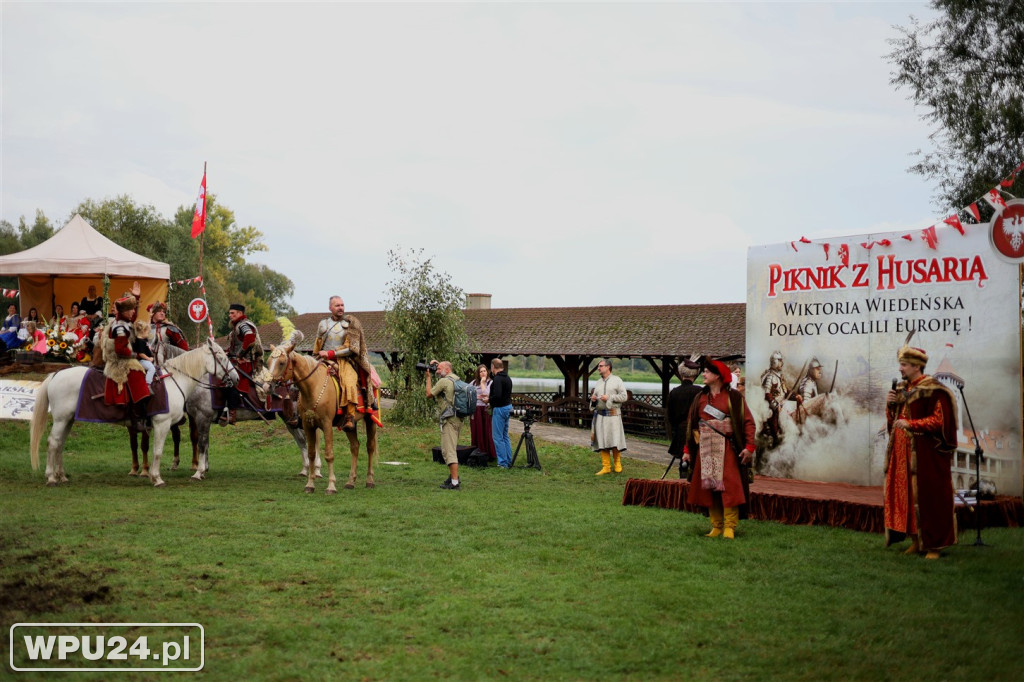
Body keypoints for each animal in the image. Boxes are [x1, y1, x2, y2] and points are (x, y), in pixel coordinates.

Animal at [30, 337, 239, 485]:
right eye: (221, 357)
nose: (236, 378)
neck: (174, 380)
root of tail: (56, 374)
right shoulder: (162, 424)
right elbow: (157, 451)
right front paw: (157, 478)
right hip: (61, 419)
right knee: (53, 442)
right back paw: (51, 477)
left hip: (68, 419)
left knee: (60, 443)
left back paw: (61, 475)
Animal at [264, 329, 376, 493]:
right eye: (268, 362)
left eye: (282, 362)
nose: (267, 387)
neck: (313, 387)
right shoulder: (307, 425)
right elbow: (311, 454)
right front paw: (310, 485)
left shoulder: (327, 424)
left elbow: (329, 454)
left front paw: (331, 486)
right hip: (350, 424)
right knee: (355, 447)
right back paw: (350, 482)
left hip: (371, 418)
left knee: (370, 447)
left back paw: (369, 480)